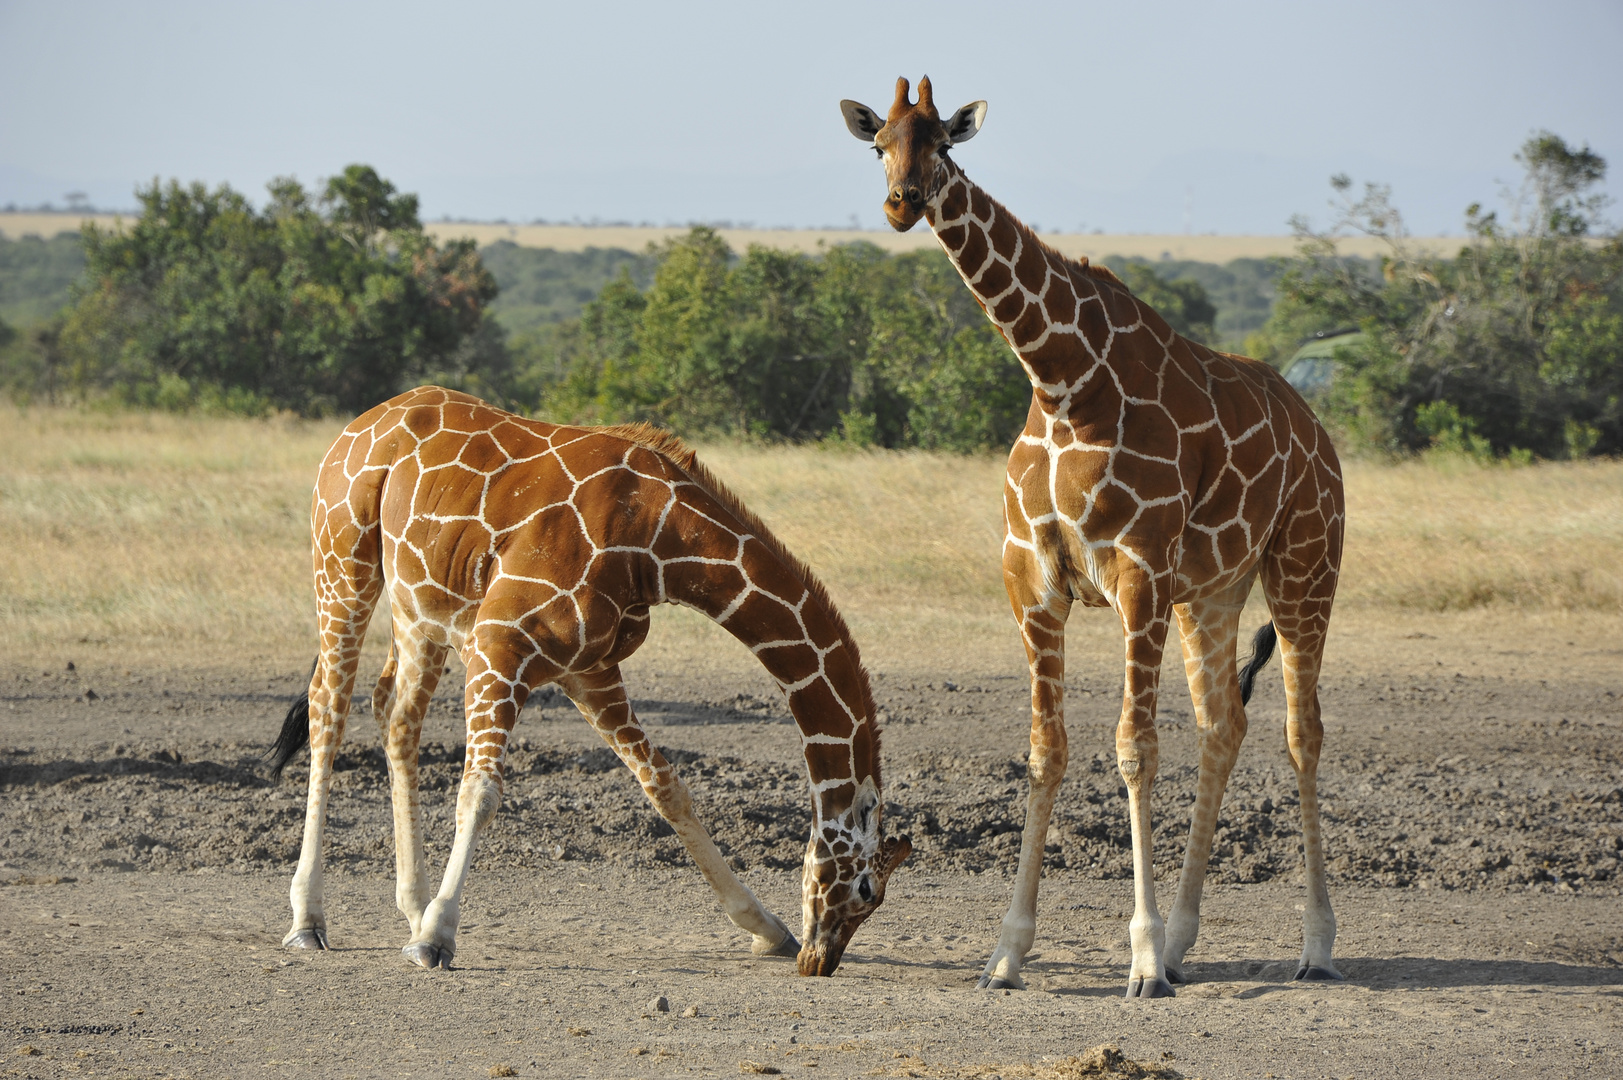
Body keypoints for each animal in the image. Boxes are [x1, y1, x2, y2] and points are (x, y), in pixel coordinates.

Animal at [272, 383, 921, 974]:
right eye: (867, 889)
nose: (821, 960)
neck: (659, 539)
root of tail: (360, 423)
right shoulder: (499, 642)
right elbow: (480, 791)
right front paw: (436, 938)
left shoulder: (588, 668)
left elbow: (666, 786)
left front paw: (766, 927)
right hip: (343, 563)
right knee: (327, 709)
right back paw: (309, 920)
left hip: (420, 604)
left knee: (396, 714)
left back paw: (411, 906)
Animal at [837, 79, 1343, 1000]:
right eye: (878, 145)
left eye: (943, 145)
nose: (901, 203)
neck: (1063, 380)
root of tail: (1317, 432)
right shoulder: (1033, 582)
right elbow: (1046, 753)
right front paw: (1006, 955)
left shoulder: (1138, 574)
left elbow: (1133, 750)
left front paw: (1137, 961)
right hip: (1213, 592)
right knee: (1223, 726)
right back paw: (1183, 941)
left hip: (1302, 567)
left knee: (1301, 733)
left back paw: (1313, 944)